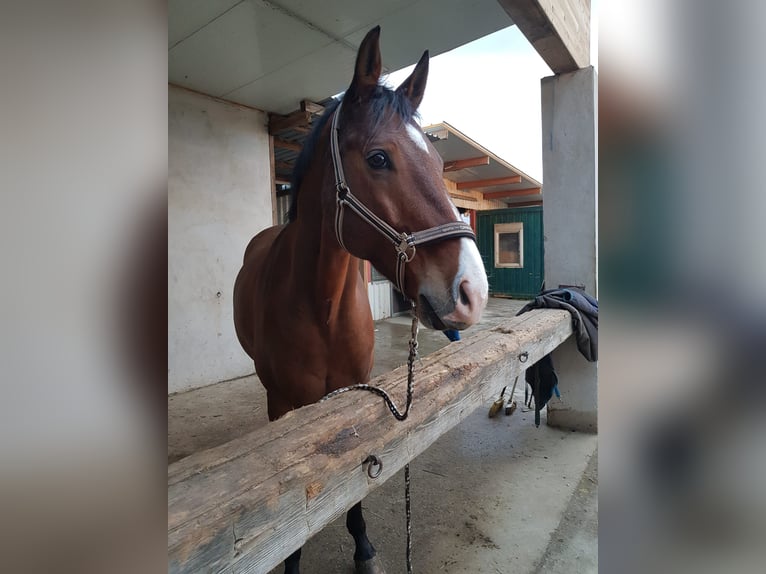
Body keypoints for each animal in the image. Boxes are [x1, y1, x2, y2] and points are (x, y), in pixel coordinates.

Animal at [231, 28, 488, 574]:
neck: (321, 307)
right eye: (378, 158)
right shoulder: (285, 406)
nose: (472, 292)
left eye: (438, 163)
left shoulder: (356, 391)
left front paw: (365, 547)